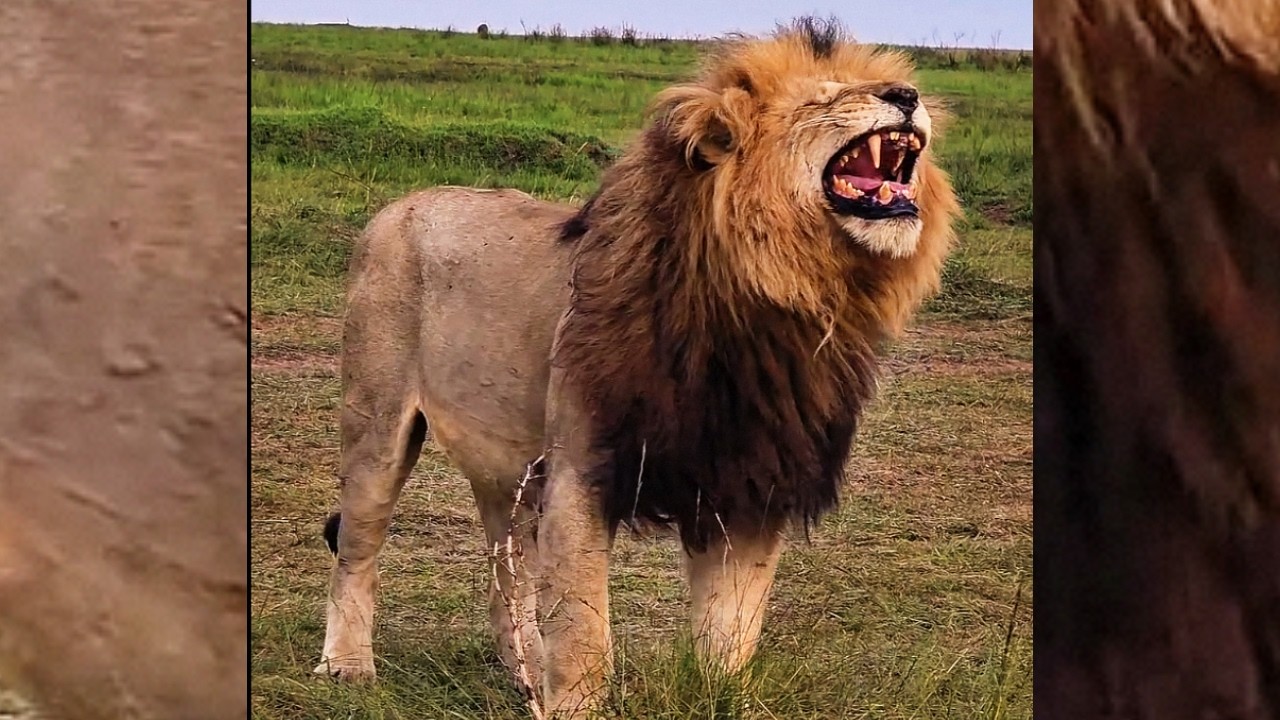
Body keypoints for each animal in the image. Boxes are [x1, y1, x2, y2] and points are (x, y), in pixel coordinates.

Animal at [317, 17, 959, 717]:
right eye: (824, 97)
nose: (907, 94)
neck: (784, 300)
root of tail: (395, 206)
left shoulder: (749, 485)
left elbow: (730, 632)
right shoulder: (583, 469)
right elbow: (583, 631)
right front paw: (572, 701)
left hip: (507, 466)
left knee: (503, 571)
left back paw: (522, 674)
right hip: (378, 426)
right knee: (357, 550)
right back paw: (348, 666)